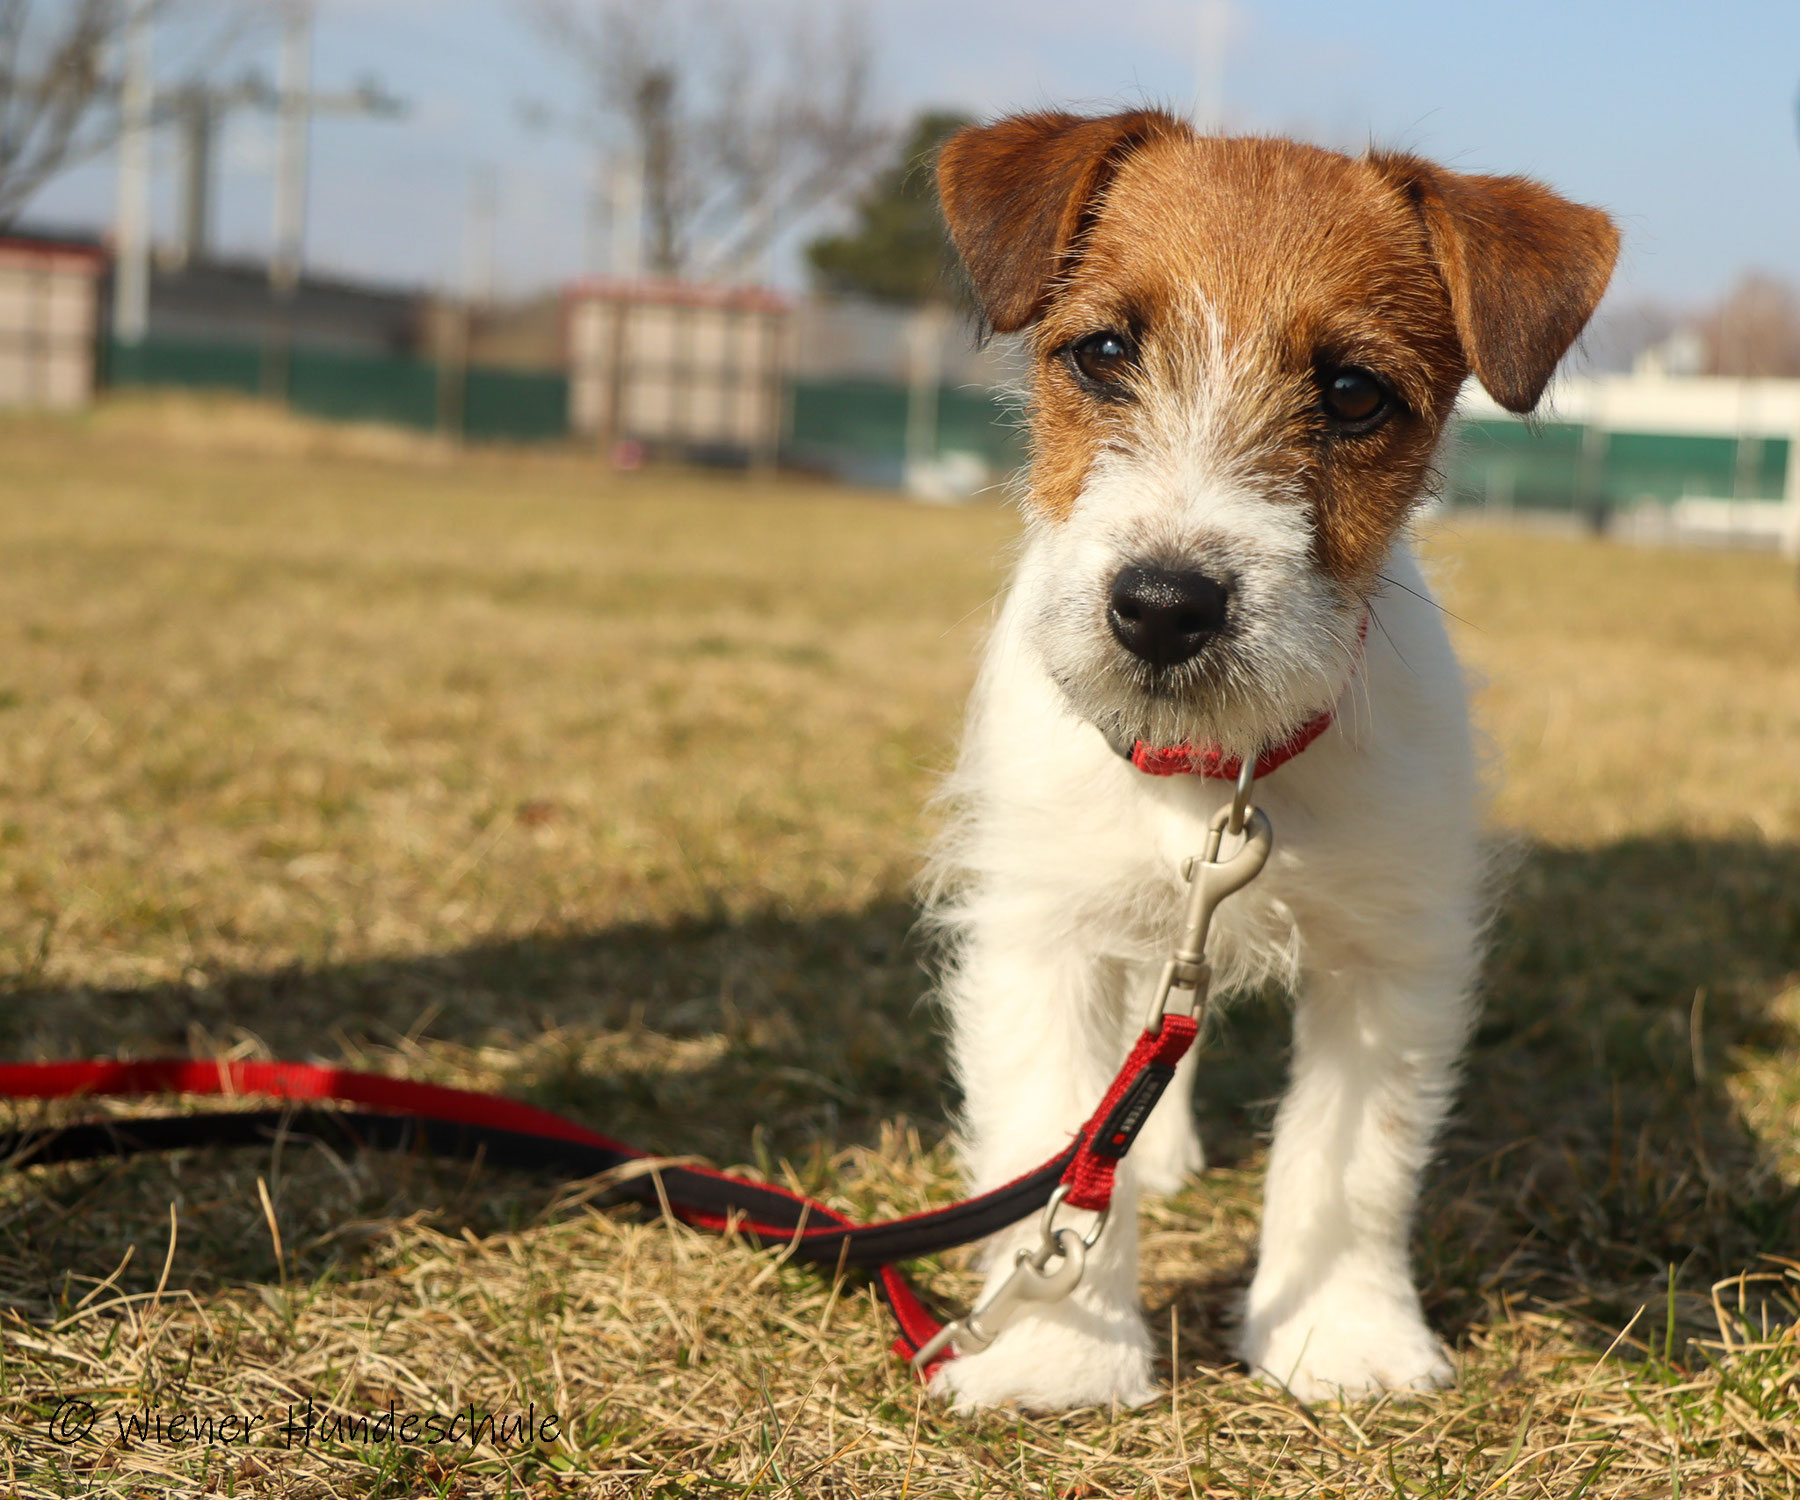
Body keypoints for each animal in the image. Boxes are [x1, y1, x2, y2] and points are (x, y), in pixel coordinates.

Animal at [928, 111, 1620, 1411]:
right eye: (1102, 353)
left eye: (1351, 393)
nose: (1163, 607)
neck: (1216, 770)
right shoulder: (1042, 926)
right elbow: (1050, 1118)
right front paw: (1057, 1358)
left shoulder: (1389, 958)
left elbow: (1350, 1169)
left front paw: (1343, 1341)